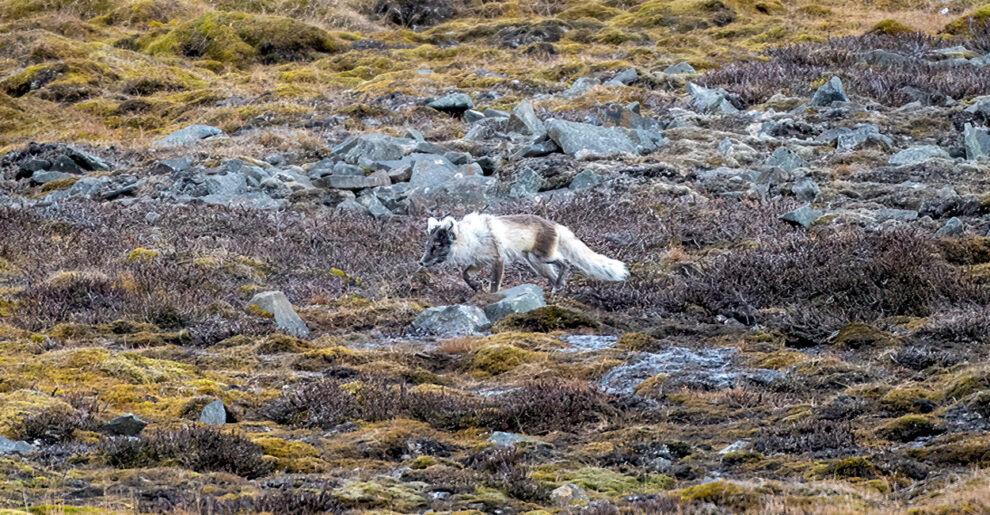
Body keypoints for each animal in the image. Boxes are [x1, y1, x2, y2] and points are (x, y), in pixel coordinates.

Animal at [418, 214, 628, 294]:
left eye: (437, 246)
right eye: (428, 245)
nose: (421, 262)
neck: (470, 238)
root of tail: (556, 224)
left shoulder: (498, 259)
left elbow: (495, 284)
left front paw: (490, 296)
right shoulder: (480, 261)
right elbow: (464, 274)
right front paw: (476, 287)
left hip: (542, 257)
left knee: (564, 263)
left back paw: (557, 287)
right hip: (536, 264)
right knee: (556, 274)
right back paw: (555, 291)